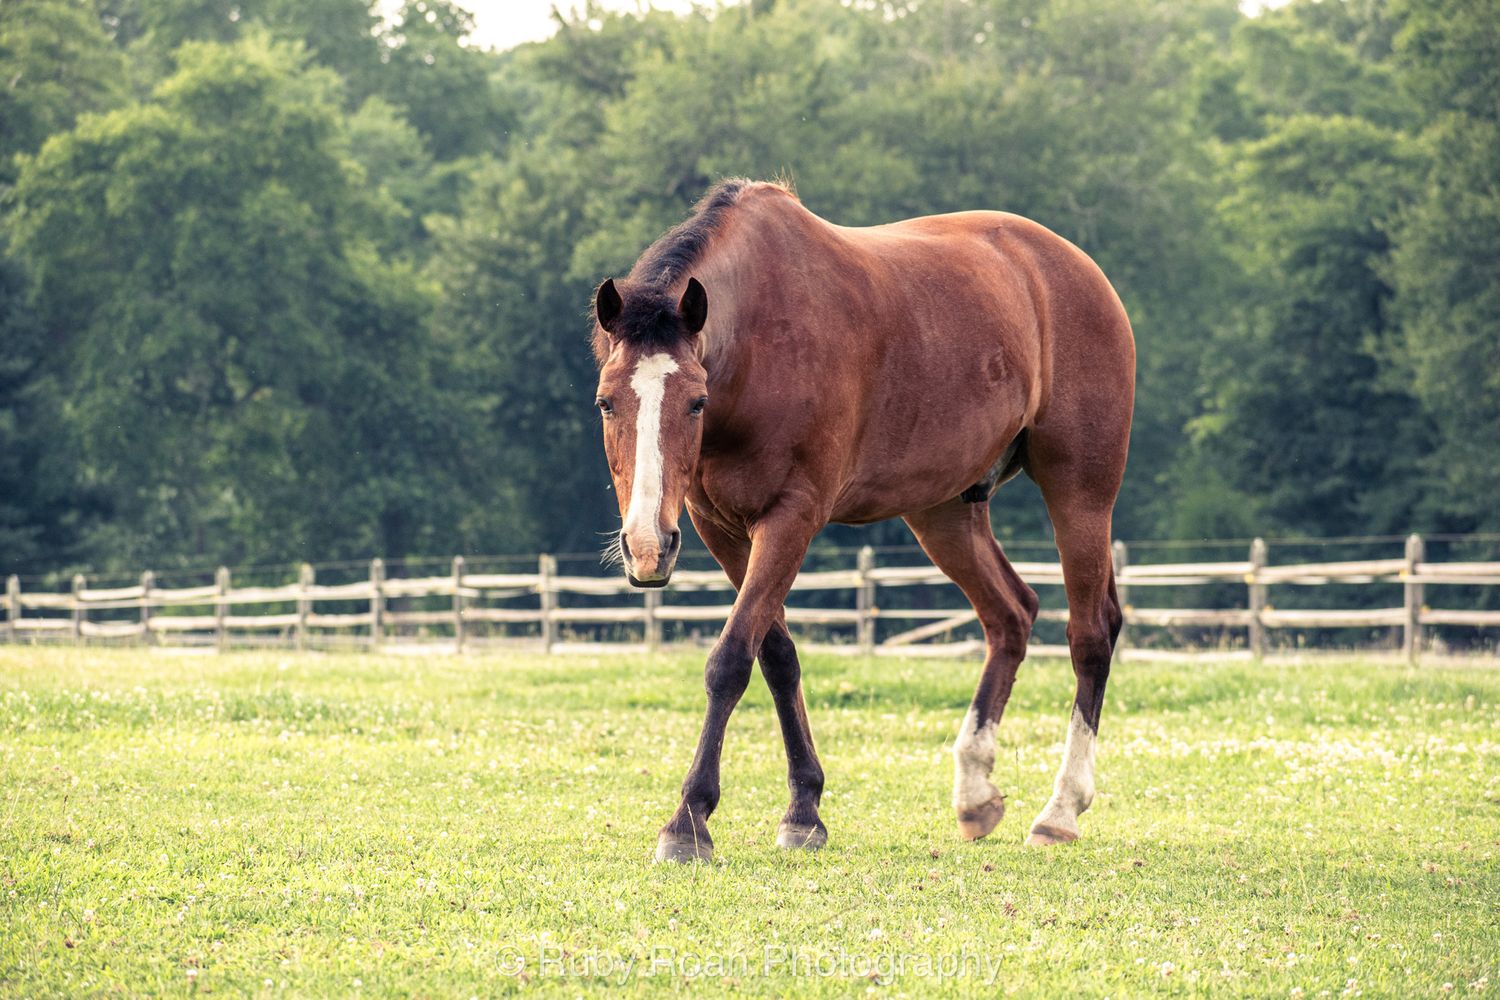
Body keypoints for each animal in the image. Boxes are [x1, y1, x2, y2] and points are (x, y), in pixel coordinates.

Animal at [590, 179, 1134, 862]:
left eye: (695, 401)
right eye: (607, 402)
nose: (645, 547)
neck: (762, 345)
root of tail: (1079, 270)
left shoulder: (791, 516)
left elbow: (731, 660)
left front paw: (688, 822)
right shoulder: (720, 529)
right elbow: (777, 656)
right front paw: (804, 809)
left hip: (1081, 493)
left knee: (1089, 634)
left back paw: (1059, 811)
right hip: (943, 511)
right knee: (1011, 614)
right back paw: (975, 793)